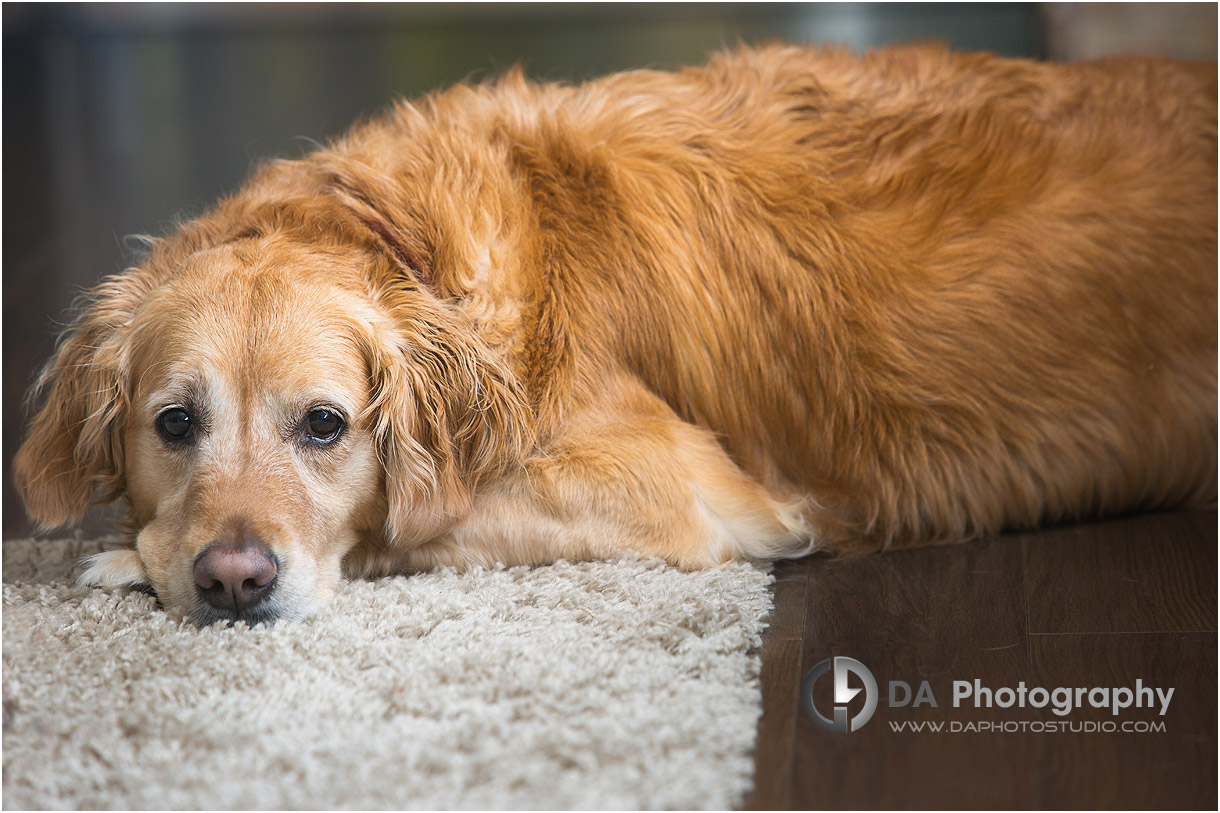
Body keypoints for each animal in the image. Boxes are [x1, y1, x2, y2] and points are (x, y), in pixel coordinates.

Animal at [14, 44, 1215, 622]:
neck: (411, 252)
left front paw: (119, 559)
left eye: (324, 426)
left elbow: (408, 525)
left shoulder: (679, 486)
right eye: (175, 423)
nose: (232, 580)